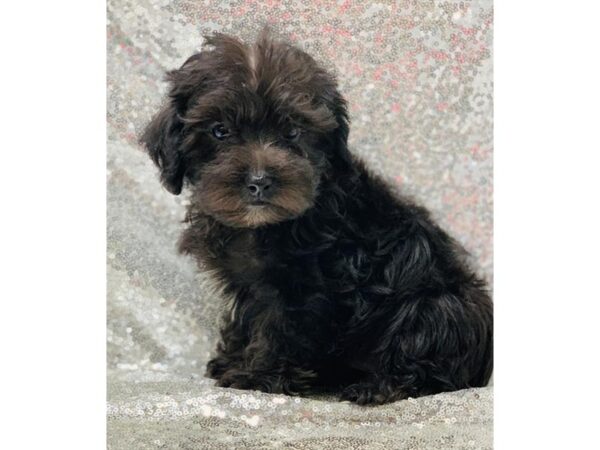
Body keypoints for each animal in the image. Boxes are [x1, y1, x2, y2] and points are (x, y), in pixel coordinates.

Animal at [141, 30, 492, 404]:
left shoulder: (306, 287)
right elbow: (247, 318)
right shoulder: (251, 284)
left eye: (293, 131)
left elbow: (281, 326)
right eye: (219, 131)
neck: (264, 226)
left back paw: (377, 386)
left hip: (434, 306)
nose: (259, 181)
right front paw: (232, 360)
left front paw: (260, 376)